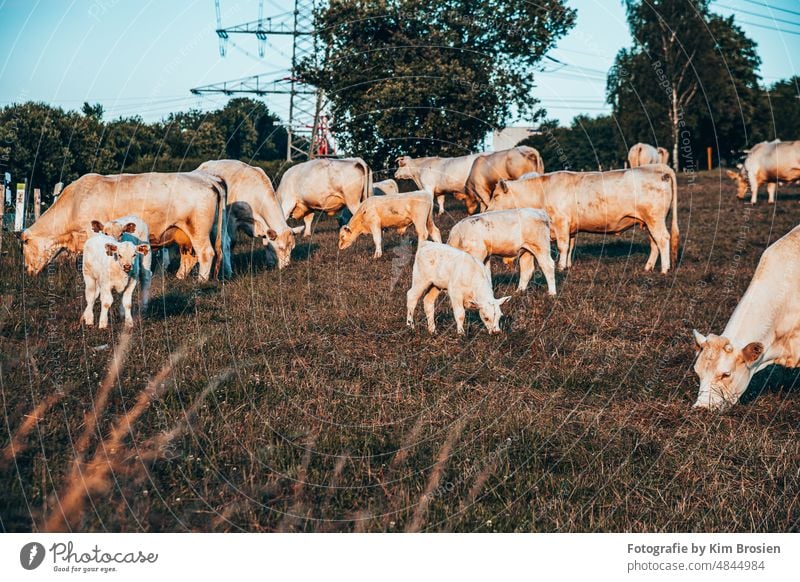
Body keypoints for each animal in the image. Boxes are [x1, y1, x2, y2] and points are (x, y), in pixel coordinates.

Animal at [20, 171, 227, 282]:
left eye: (25, 245)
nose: (26, 271)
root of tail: (206, 178)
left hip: (198, 230)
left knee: (206, 254)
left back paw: (201, 281)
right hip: (185, 234)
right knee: (190, 257)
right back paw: (179, 278)